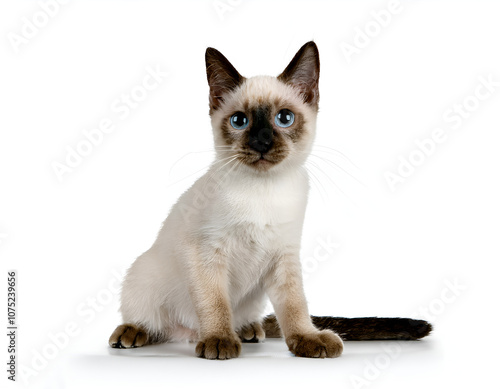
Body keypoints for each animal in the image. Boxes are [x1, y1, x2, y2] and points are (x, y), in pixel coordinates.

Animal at [108, 41, 430, 358]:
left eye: (284, 118)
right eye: (239, 121)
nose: (261, 142)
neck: (263, 191)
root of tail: (187, 333)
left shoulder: (284, 255)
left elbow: (295, 306)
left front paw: (307, 339)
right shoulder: (206, 253)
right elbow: (215, 302)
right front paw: (218, 340)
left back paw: (249, 330)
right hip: (143, 277)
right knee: (153, 322)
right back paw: (135, 332)